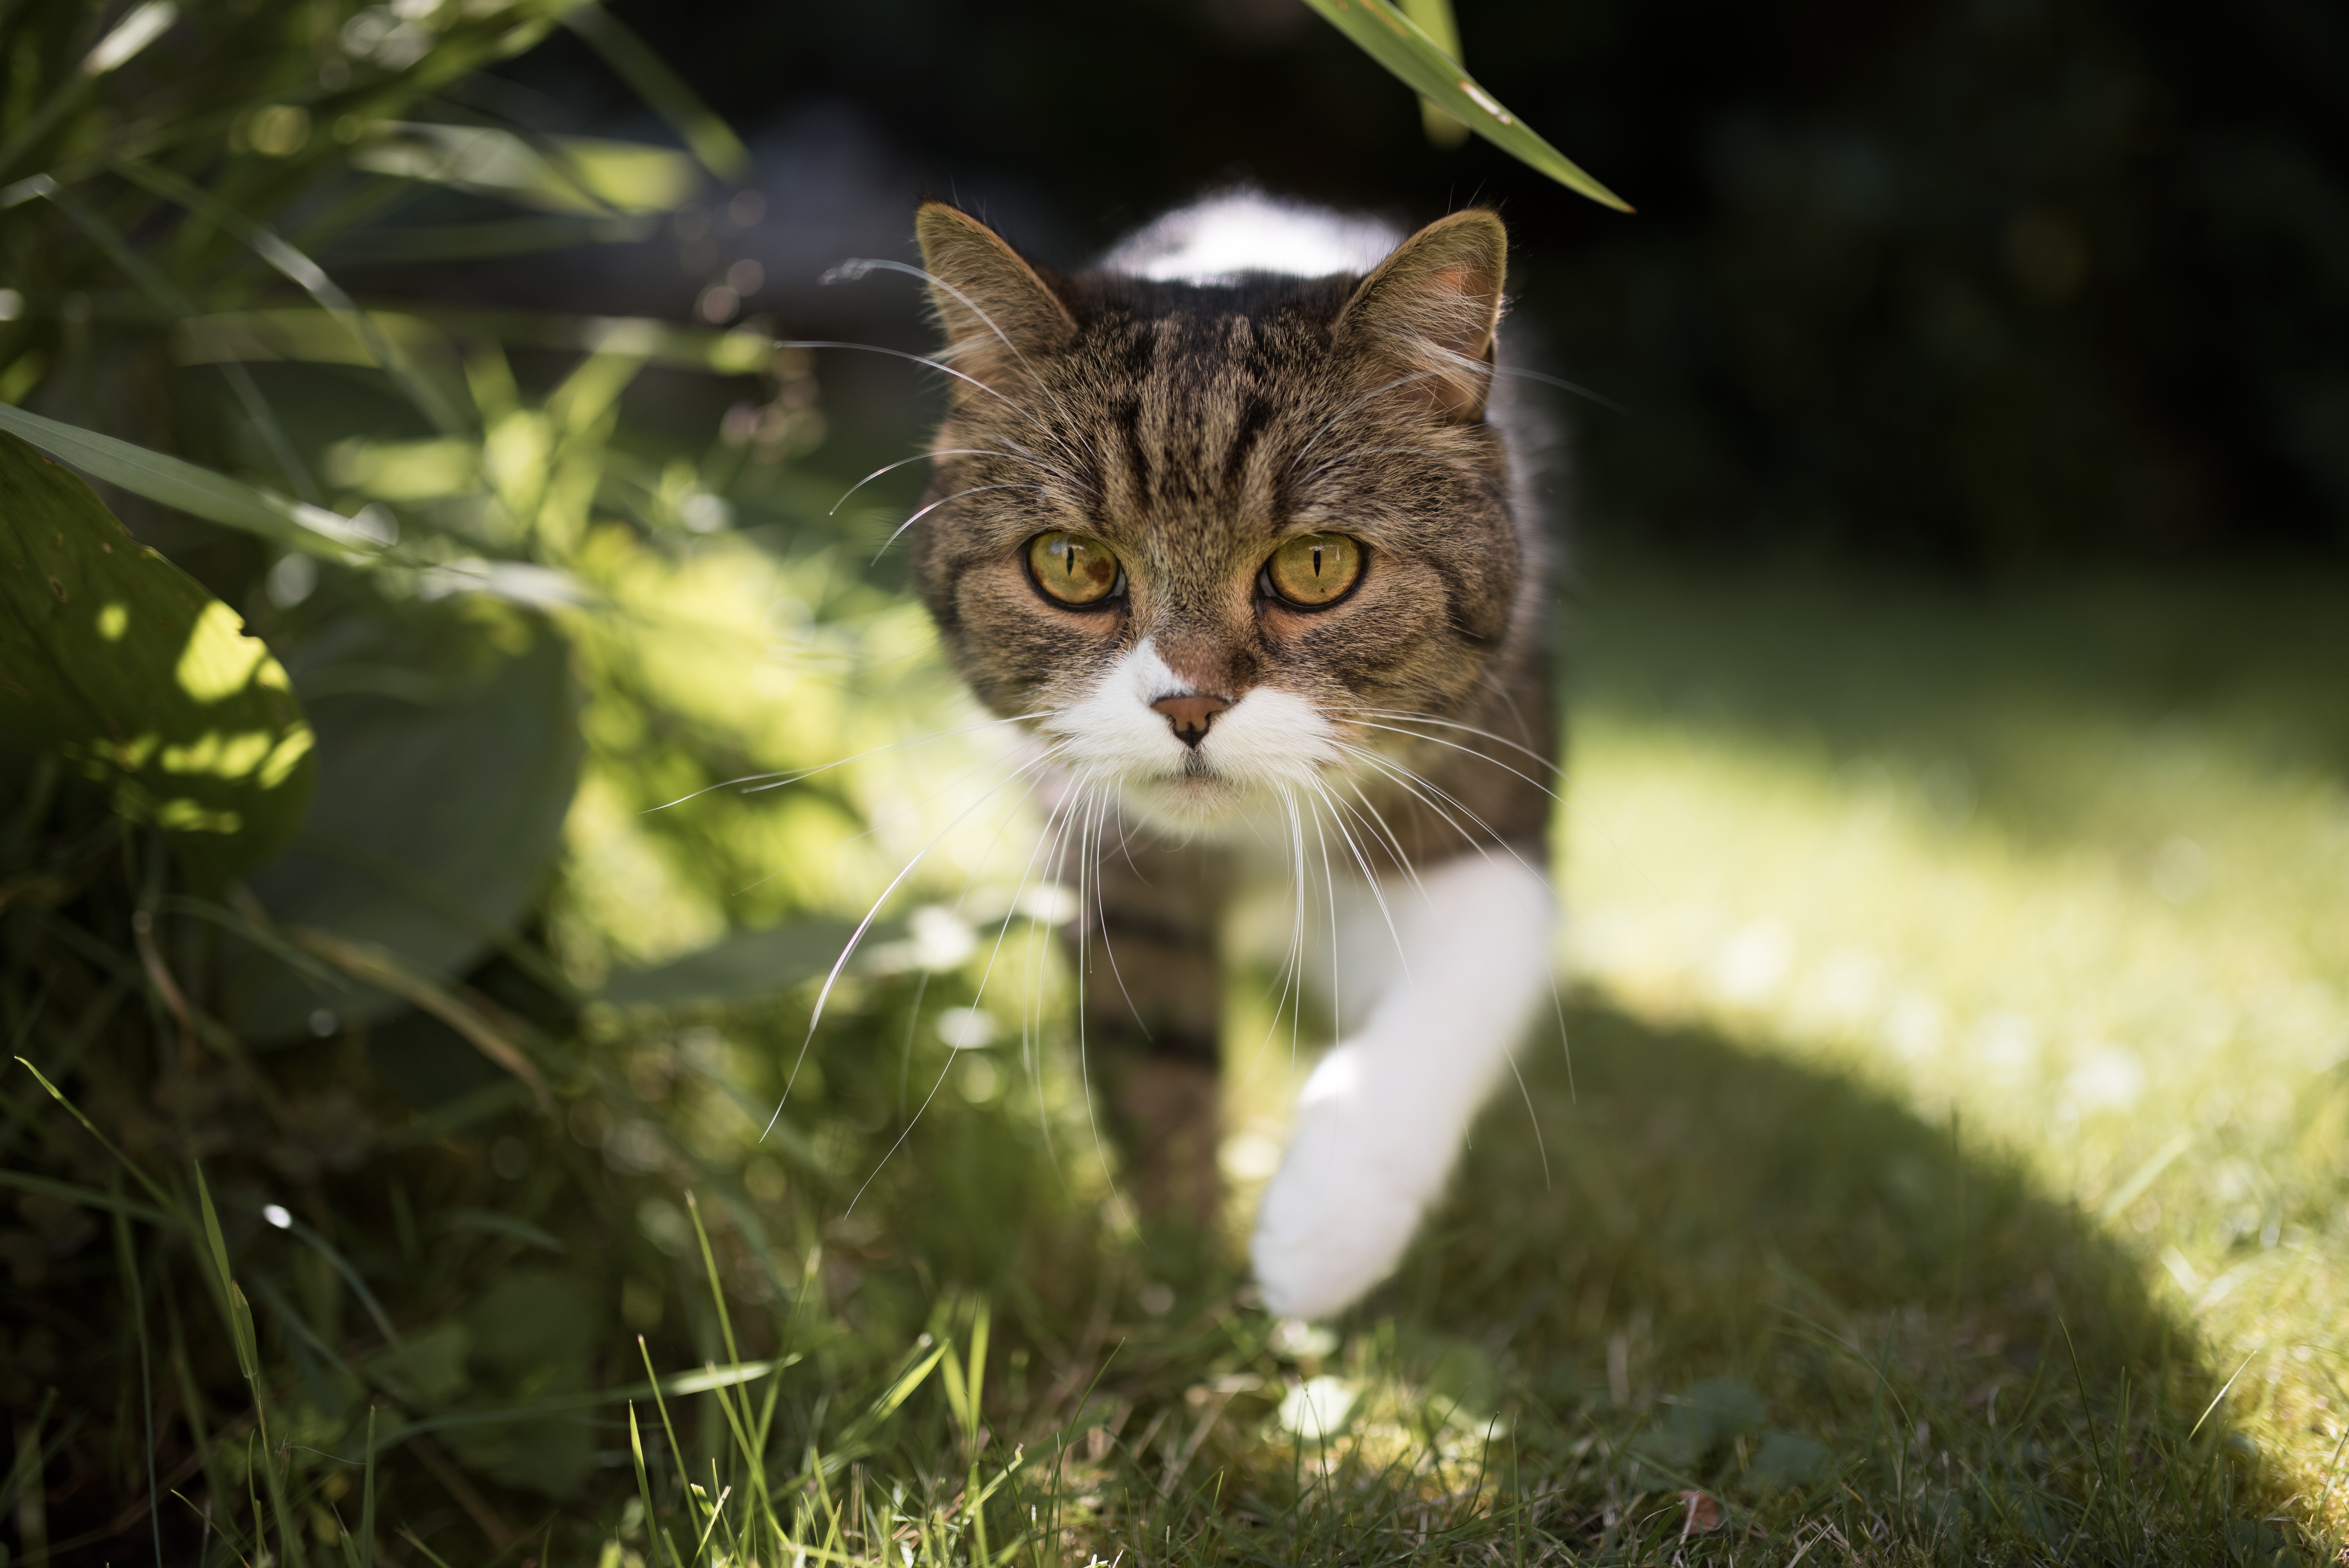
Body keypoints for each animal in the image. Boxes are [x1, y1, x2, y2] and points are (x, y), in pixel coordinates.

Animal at [902, 196, 1559, 1324]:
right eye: (1071, 564)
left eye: (1318, 565)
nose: (1189, 705)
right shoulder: (1111, 865)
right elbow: (1160, 1062)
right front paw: (1186, 1273)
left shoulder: (1482, 797)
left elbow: (1458, 986)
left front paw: (1324, 1229)